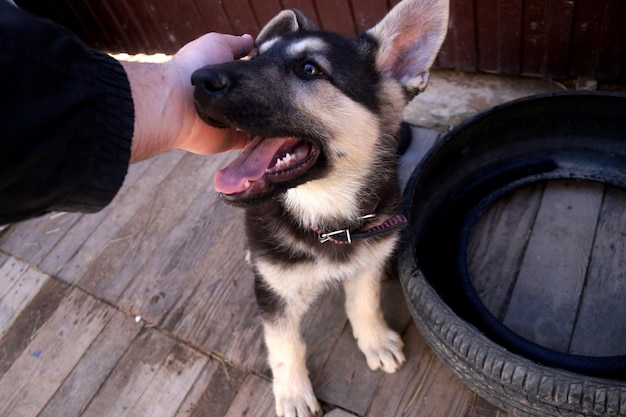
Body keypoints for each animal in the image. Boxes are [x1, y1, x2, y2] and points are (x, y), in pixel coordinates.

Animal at [193, 1, 446, 414]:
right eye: (255, 56)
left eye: (309, 68)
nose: (197, 79)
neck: (327, 214)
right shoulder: (274, 296)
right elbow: (284, 344)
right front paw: (294, 393)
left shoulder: (368, 260)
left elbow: (365, 302)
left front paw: (375, 340)